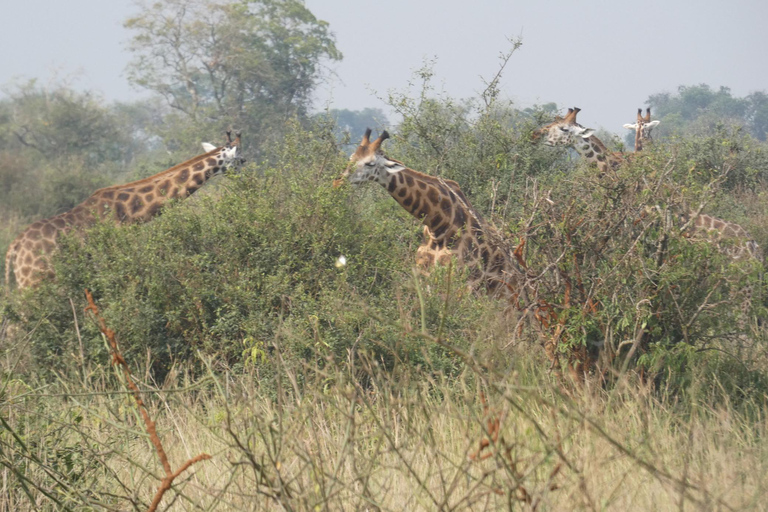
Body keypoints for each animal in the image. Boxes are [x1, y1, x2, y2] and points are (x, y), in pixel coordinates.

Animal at [3, 133, 243, 292]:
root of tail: (14, 247)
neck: (131, 211)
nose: (246, 176)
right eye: (241, 160)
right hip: (34, 280)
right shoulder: (117, 258)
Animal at [332, 128, 524, 298]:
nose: (337, 183)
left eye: (370, 163)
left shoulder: (464, 283)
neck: (439, 225)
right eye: (351, 157)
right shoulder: (425, 277)